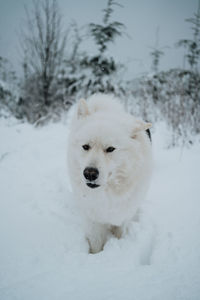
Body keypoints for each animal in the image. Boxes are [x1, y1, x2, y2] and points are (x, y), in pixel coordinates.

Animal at [67, 94, 152, 253]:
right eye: (85, 146)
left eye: (110, 149)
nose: (90, 173)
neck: (107, 194)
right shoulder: (93, 219)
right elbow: (95, 244)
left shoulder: (123, 216)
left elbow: (119, 233)